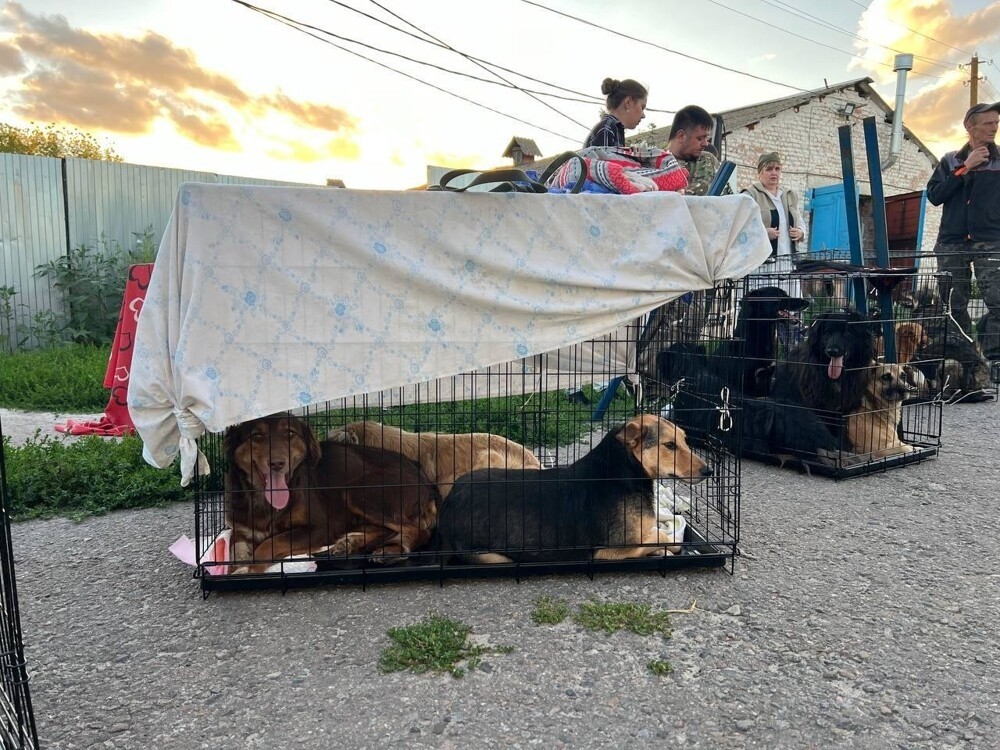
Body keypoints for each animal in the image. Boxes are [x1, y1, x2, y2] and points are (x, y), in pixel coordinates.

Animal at [438, 414, 712, 568]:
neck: (624, 470)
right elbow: (668, 540)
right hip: (492, 556)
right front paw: (662, 549)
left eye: (685, 440)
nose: (709, 470)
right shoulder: (610, 550)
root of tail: (447, 506)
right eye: (669, 445)